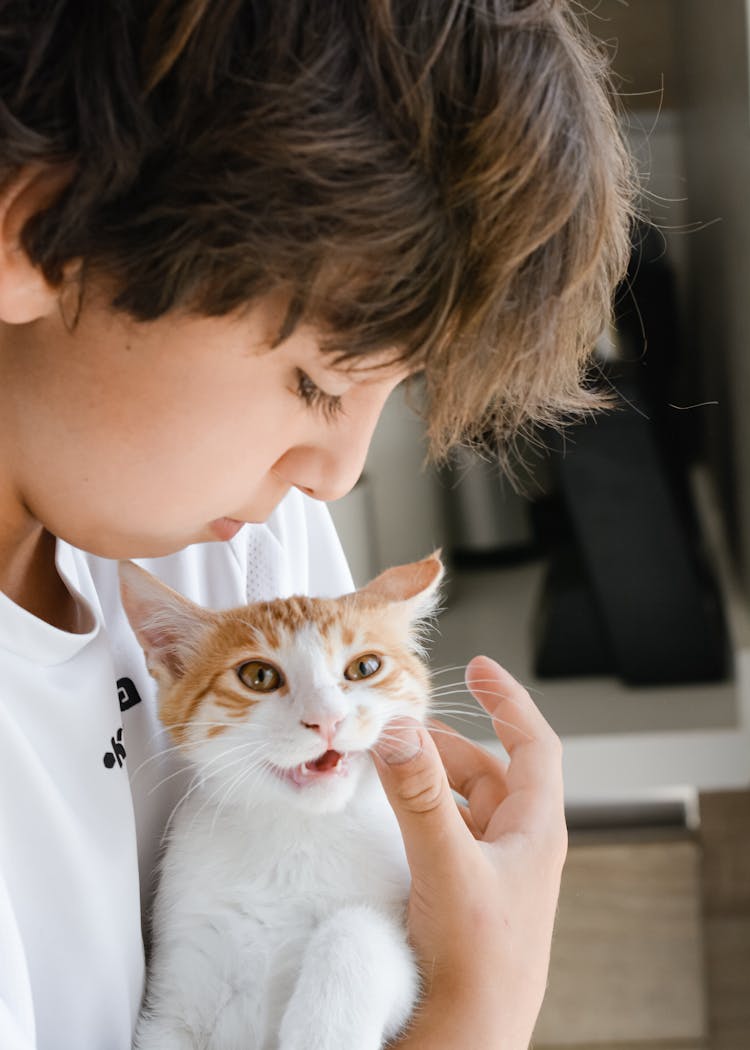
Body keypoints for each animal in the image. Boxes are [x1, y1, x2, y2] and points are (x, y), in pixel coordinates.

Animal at [119, 554, 441, 1050]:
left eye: (365, 667)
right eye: (259, 676)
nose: (327, 718)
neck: (296, 834)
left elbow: (360, 930)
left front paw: (323, 1030)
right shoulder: (176, 989)